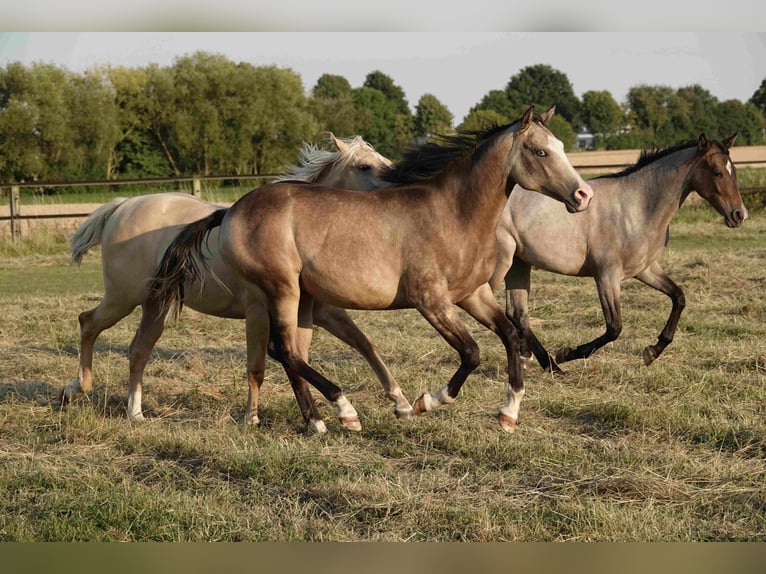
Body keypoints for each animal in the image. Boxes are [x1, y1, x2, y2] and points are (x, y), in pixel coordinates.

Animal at [60, 134, 408, 427]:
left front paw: (398, 401)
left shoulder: (320, 313)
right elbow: (260, 367)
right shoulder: (259, 313)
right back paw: (75, 389)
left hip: (155, 306)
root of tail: (122, 206)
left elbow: (362, 344)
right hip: (122, 297)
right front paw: (252, 419)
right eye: (364, 166)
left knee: (138, 351)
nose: (400, 188)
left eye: (386, 159)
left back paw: (135, 413)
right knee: (88, 323)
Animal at [151, 106, 594, 433]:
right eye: (540, 152)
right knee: (284, 351)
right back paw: (343, 412)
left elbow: (511, 336)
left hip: (302, 298)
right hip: (282, 289)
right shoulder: (430, 301)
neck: (453, 214)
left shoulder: (473, 295)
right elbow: (471, 352)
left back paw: (317, 422)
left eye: (559, 147)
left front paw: (509, 413)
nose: (583, 195)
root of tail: (231, 211)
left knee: (289, 353)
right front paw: (426, 402)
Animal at [489, 133, 746, 373]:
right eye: (717, 172)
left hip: (519, 263)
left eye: (733, 171)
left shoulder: (645, 269)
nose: (739, 215)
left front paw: (652, 351)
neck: (638, 206)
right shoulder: (606, 275)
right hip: (501, 263)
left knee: (517, 314)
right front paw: (567, 352)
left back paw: (544, 364)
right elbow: (614, 327)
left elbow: (678, 297)